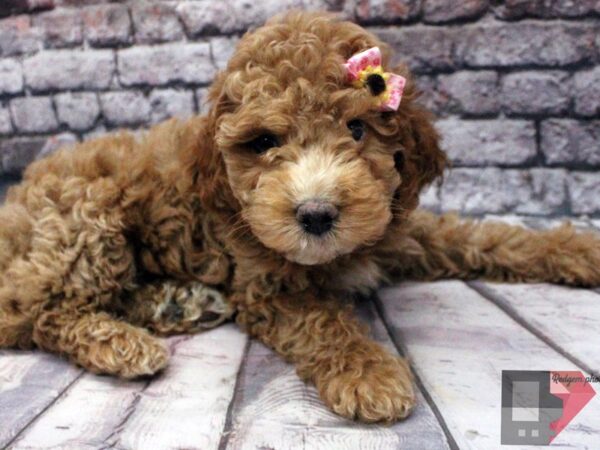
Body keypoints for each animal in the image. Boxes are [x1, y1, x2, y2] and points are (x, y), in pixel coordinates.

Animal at [1, 12, 600, 424]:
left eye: (357, 129)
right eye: (264, 142)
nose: (316, 214)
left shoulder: (396, 229)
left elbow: (488, 237)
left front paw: (580, 251)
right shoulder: (266, 284)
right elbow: (324, 322)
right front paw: (370, 373)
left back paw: (177, 303)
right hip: (87, 217)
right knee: (39, 313)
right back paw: (124, 345)